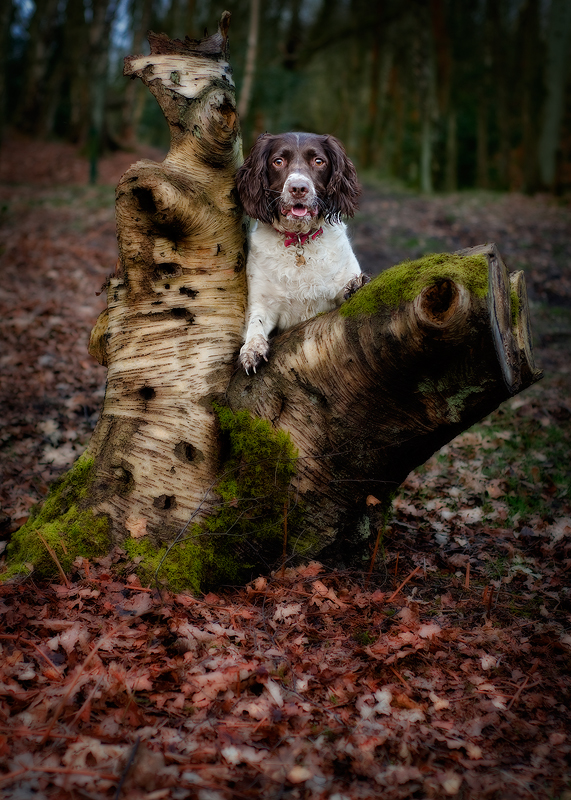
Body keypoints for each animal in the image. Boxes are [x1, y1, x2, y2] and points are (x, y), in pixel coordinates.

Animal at [235, 132, 368, 376]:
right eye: (278, 161)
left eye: (318, 161)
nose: (298, 188)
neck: (299, 239)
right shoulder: (262, 303)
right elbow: (255, 324)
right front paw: (251, 350)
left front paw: (356, 285)